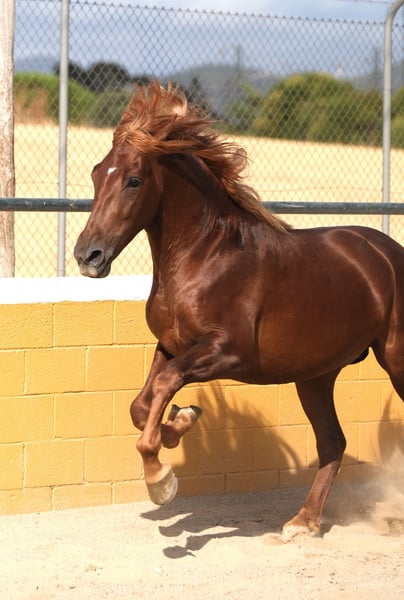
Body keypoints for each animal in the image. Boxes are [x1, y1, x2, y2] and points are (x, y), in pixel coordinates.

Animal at [74, 80, 404, 539]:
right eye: (96, 172)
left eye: (134, 180)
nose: (88, 256)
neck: (205, 256)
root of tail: (388, 253)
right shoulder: (171, 345)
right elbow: (142, 405)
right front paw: (182, 421)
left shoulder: (228, 352)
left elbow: (165, 386)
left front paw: (161, 478)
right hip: (316, 375)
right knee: (332, 443)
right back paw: (303, 522)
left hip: (395, 358)